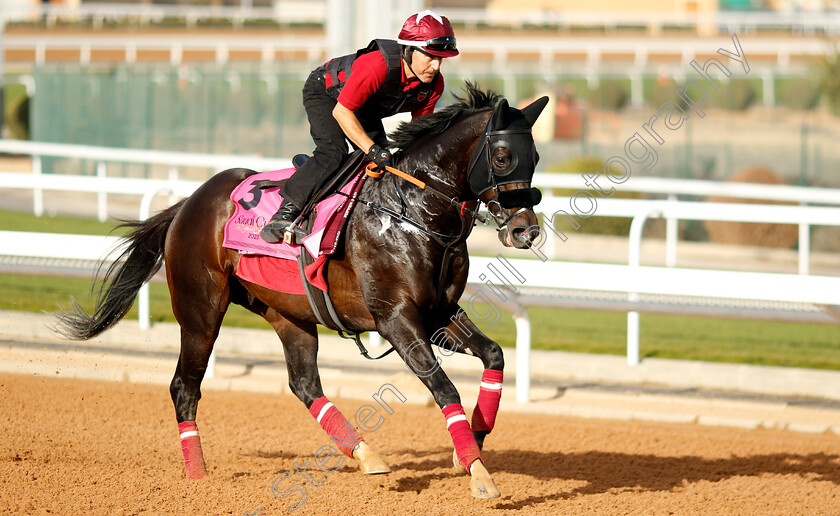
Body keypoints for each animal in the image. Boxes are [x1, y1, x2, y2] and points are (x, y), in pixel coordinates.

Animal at [54, 83, 552, 500]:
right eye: (503, 156)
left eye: (535, 157)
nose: (525, 230)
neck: (413, 212)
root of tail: (188, 204)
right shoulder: (396, 319)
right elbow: (444, 387)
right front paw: (479, 474)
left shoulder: (439, 314)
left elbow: (494, 356)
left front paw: (473, 443)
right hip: (200, 310)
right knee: (184, 385)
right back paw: (197, 473)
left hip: (288, 313)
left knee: (304, 383)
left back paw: (366, 455)